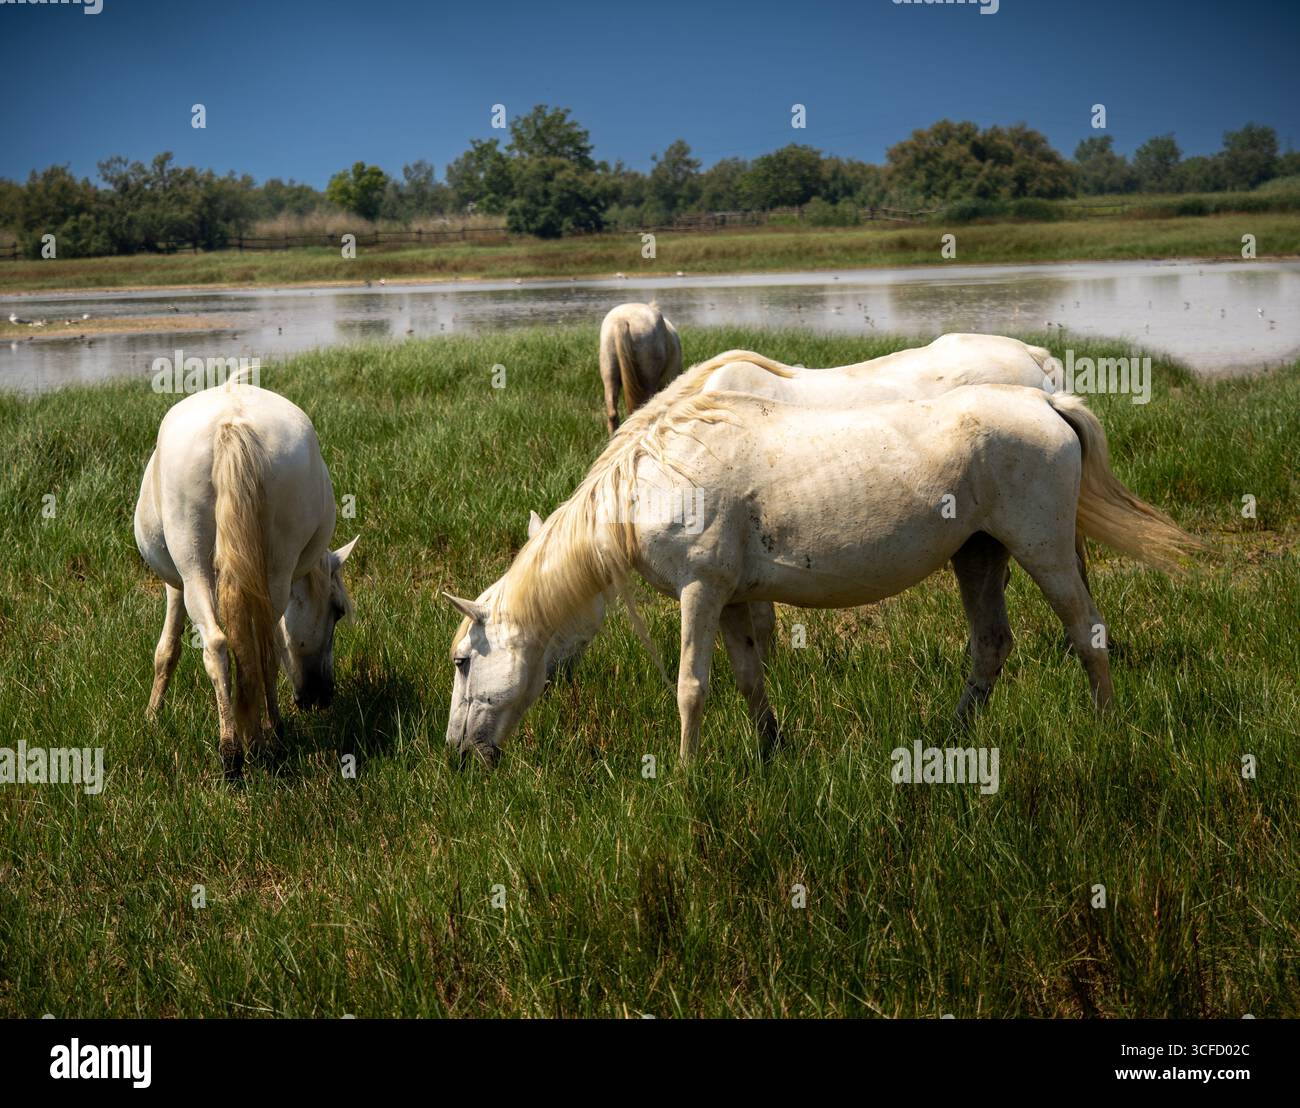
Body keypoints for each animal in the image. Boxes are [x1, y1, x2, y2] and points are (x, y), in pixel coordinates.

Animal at [134, 381, 358, 778]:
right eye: (338, 610)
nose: (322, 696)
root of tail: (231, 424)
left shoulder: (175, 585)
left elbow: (166, 651)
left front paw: (151, 716)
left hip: (193, 568)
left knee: (220, 645)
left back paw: (237, 749)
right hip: (273, 569)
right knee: (256, 647)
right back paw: (254, 741)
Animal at [444, 351, 1197, 766]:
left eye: (461, 662)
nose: (457, 755)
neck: (658, 473)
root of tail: (1046, 398)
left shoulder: (701, 591)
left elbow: (692, 686)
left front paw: (686, 777)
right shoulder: (735, 598)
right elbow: (750, 680)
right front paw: (770, 751)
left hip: (1043, 549)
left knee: (1086, 632)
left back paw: (1104, 727)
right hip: (978, 556)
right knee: (990, 645)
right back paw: (951, 738)